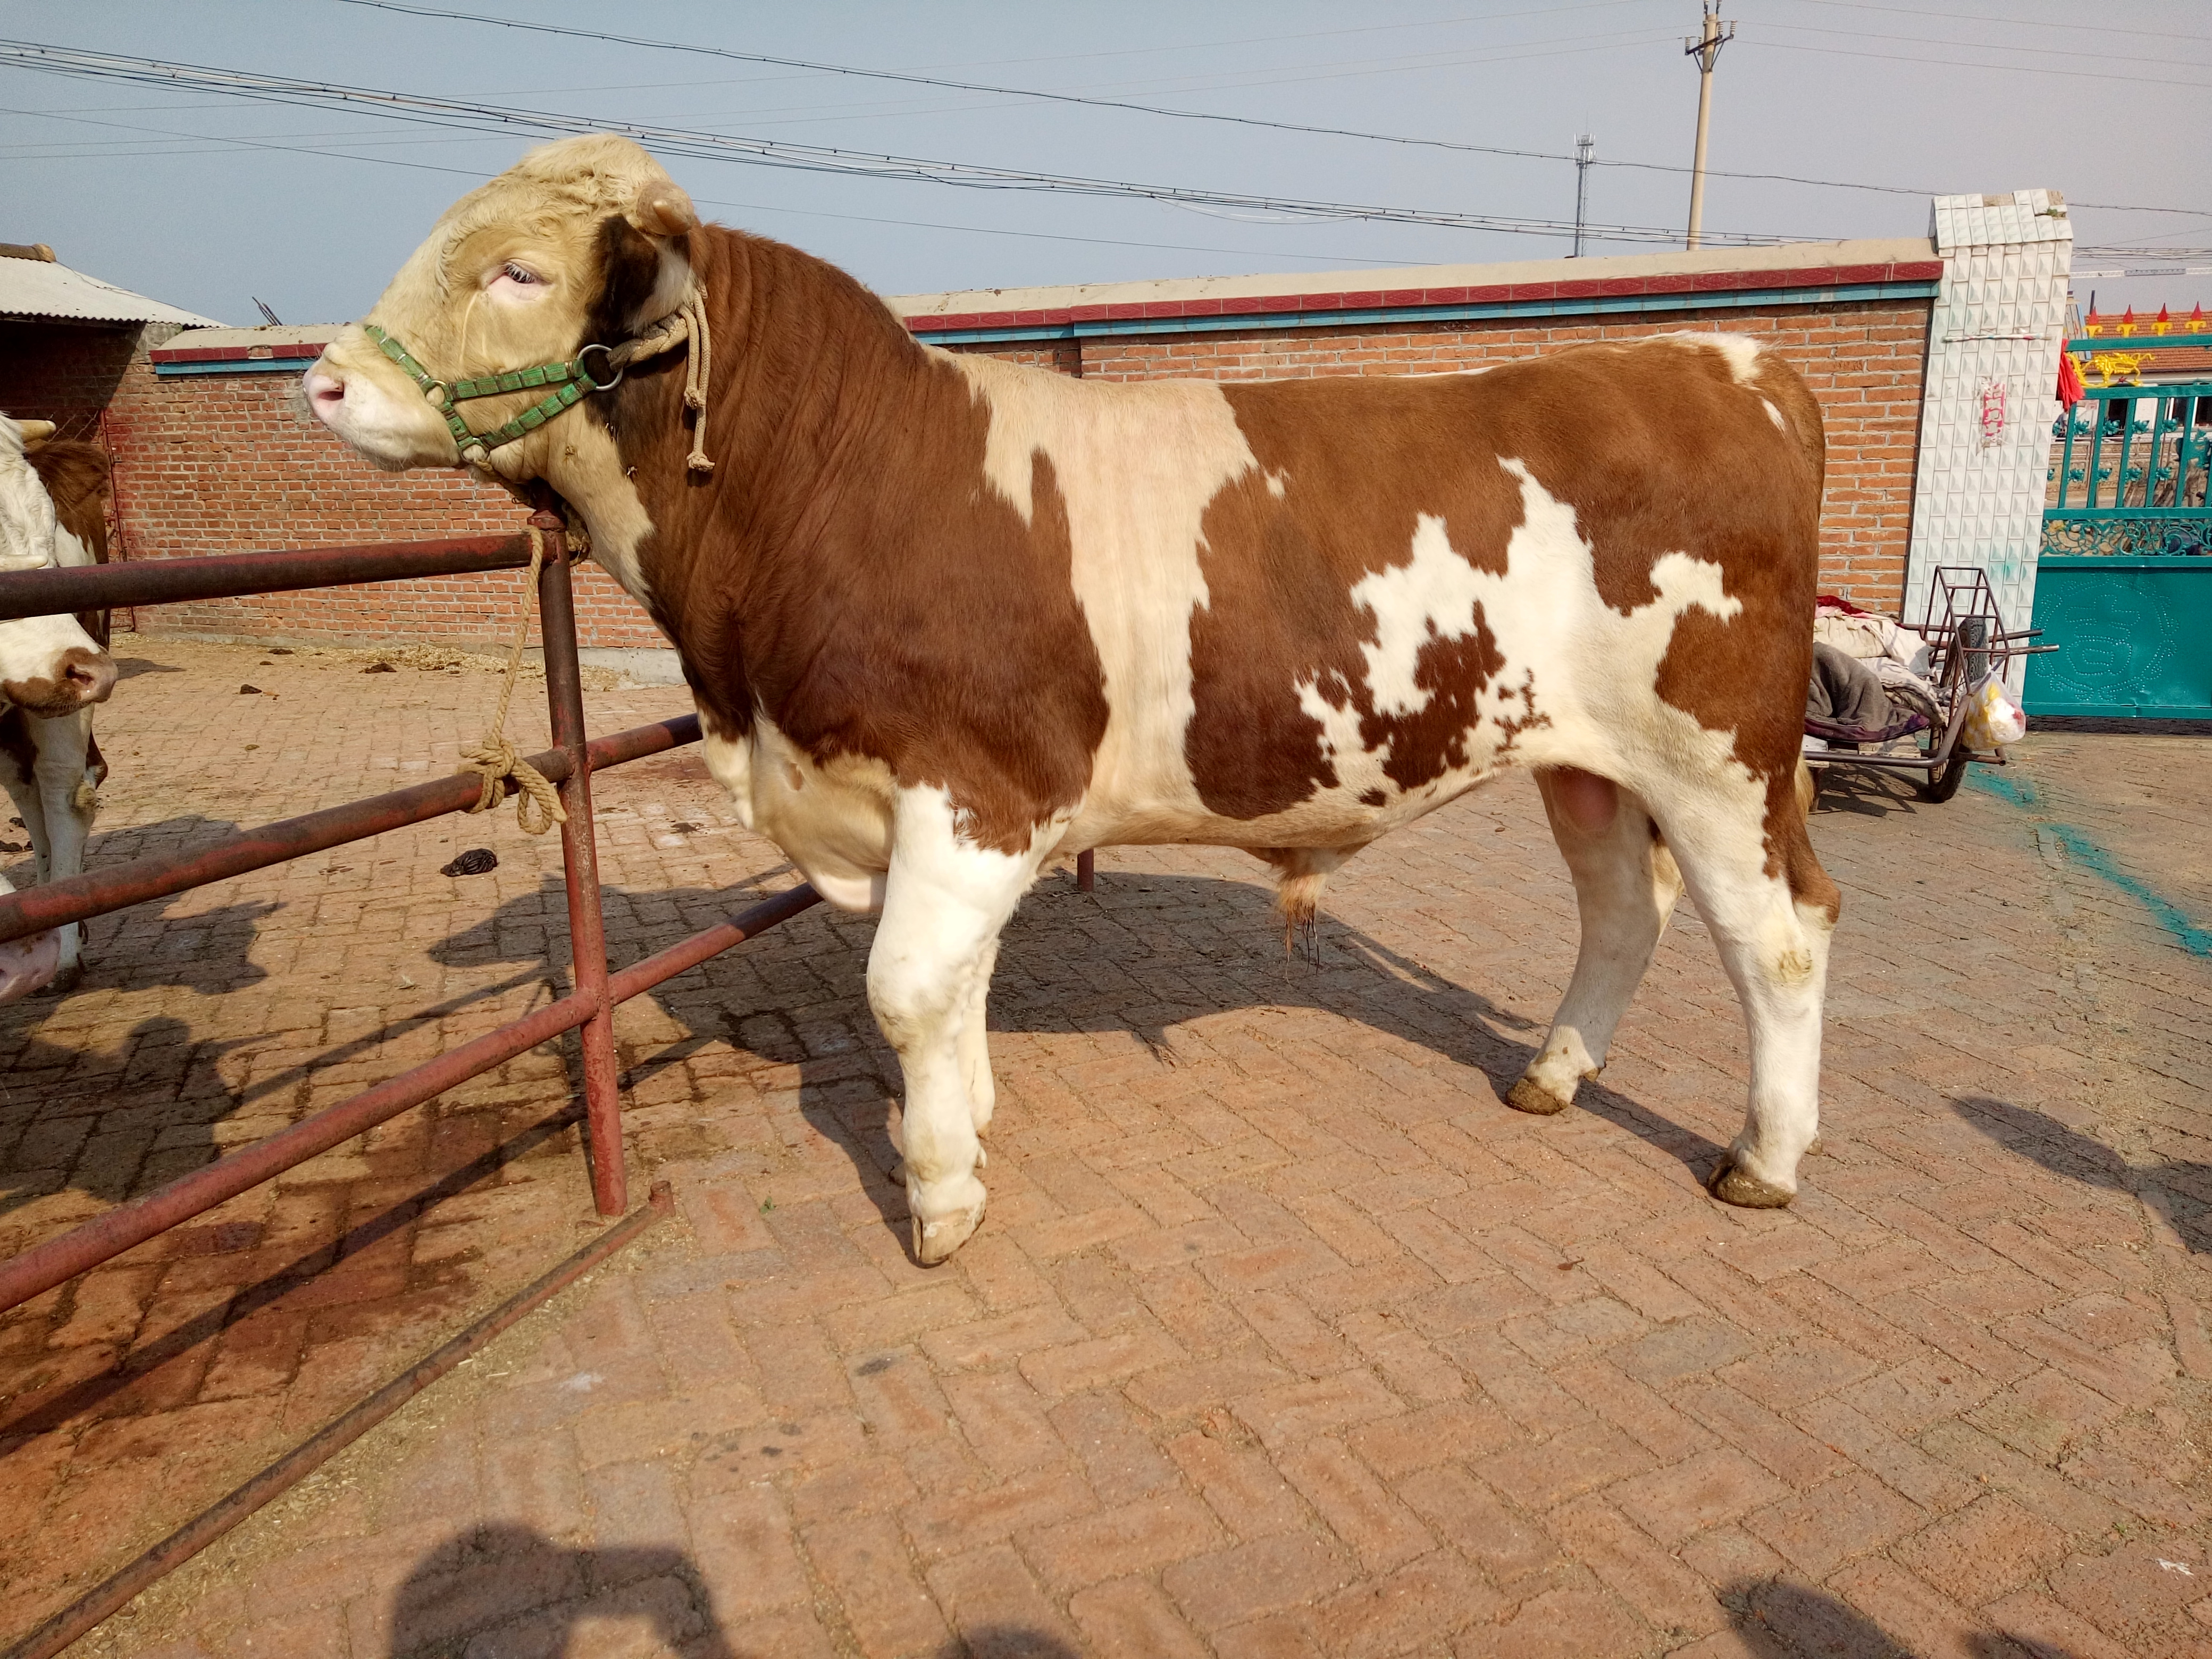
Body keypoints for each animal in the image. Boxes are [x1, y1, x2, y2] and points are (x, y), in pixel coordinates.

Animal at [303, 140, 1840, 1256]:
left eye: (515, 268)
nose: (326, 380)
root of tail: (1730, 361)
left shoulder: (970, 788)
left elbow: (909, 987)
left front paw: (938, 1194)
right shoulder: (947, 809)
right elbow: (964, 982)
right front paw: (966, 1127)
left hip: (1722, 758)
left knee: (1777, 939)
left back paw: (1762, 1158)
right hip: (1583, 756)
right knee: (1621, 910)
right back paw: (1556, 1072)